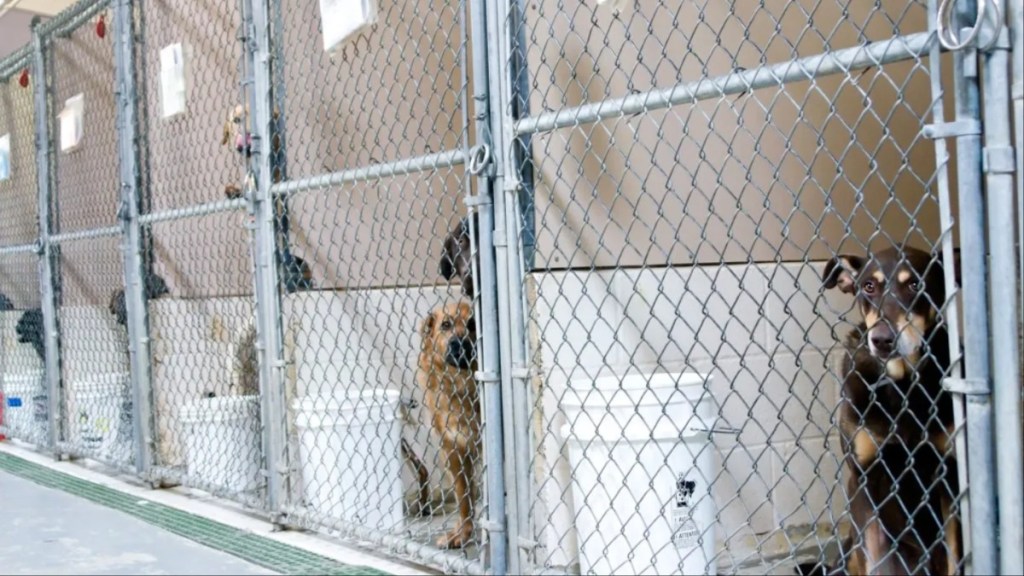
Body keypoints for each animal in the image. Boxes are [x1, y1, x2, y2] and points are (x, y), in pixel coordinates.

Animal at [798, 245, 958, 573]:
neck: (902, 385)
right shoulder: (864, 477)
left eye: (915, 285)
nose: (882, 339)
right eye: (869, 286)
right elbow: (874, 558)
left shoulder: (949, 474)